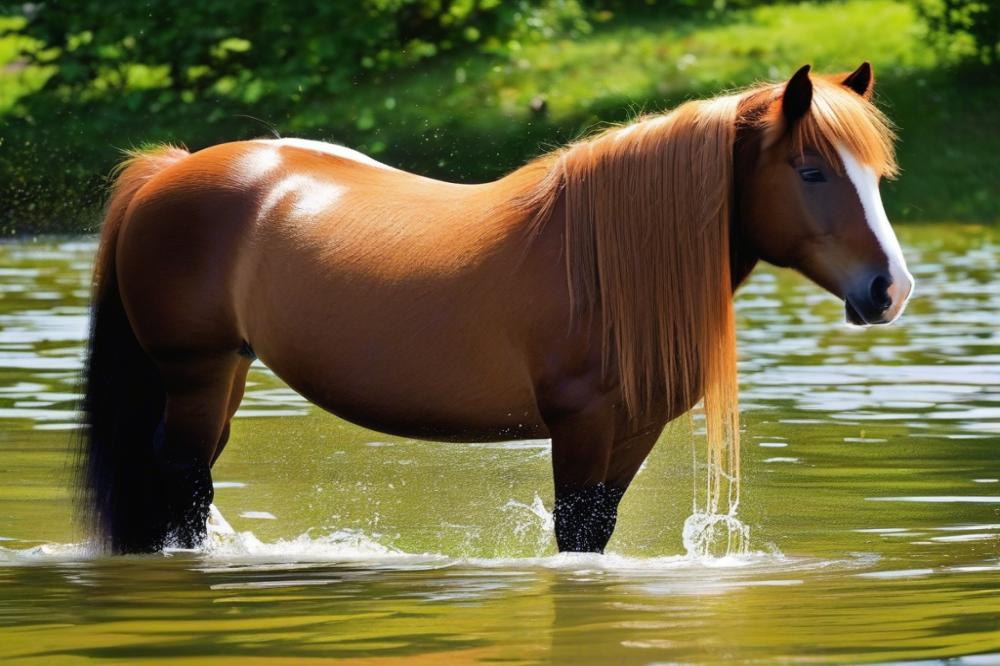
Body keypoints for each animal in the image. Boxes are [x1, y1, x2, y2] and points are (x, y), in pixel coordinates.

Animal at [78, 62, 916, 552]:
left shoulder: (634, 429)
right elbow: (576, 535)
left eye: (876, 174)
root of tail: (169, 170)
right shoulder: (581, 423)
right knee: (184, 485)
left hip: (224, 374)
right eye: (810, 170)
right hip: (196, 371)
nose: (891, 289)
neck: (602, 260)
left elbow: (598, 531)